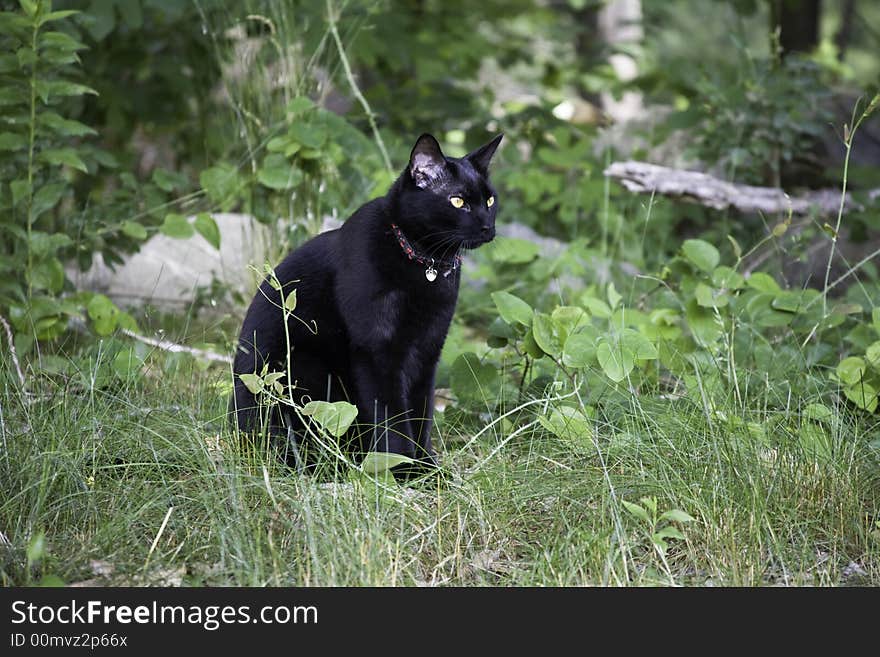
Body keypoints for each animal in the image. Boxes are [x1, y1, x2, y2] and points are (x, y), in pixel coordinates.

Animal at [230, 133, 502, 468]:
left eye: (490, 201)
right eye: (458, 201)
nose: (488, 227)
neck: (426, 264)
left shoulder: (427, 350)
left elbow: (420, 414)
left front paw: (427, 466)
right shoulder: (377, 351)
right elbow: (392, 417)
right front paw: (402, 467)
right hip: (301, 368)